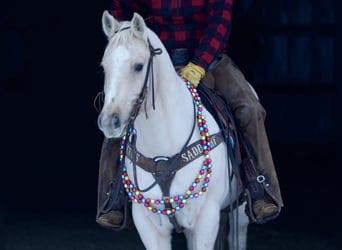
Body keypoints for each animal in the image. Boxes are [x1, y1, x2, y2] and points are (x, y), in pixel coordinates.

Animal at [97, 10, 250, 250]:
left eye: (139, 66)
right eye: (104, 66)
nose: (109, 122)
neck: (163, 148)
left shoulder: (206, 219)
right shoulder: (147, 223)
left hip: (239, 215)